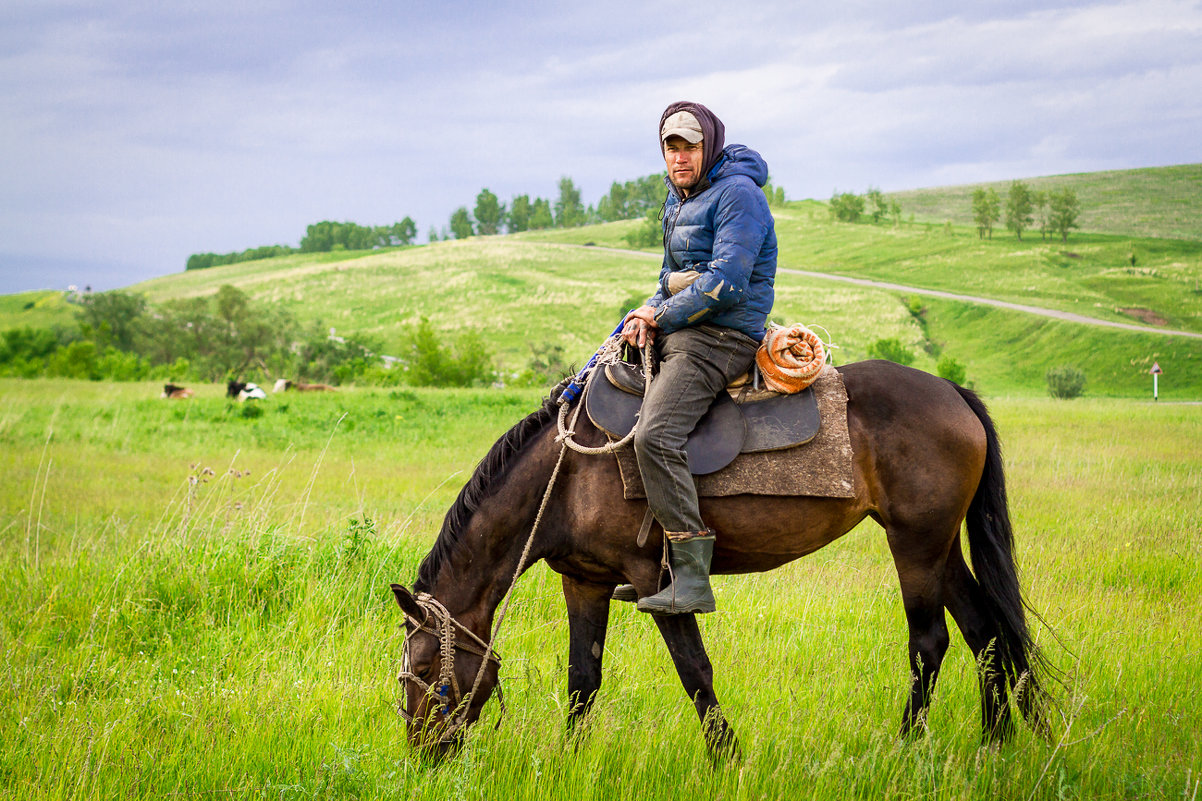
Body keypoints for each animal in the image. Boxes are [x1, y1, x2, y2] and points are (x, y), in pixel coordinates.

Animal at [391, 358, 1052, 760]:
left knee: (930, 642)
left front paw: (726, 758)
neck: (567, 476)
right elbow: (583, 679)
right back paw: (996, 743)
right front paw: (569, 758)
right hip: (938, 546)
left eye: (427, 674)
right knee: (986, 632)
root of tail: (954, 394)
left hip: (915, 543)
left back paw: (907, 746)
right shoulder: (584, 582)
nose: (423, 755)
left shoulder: (654, 582)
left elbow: (695, 673)